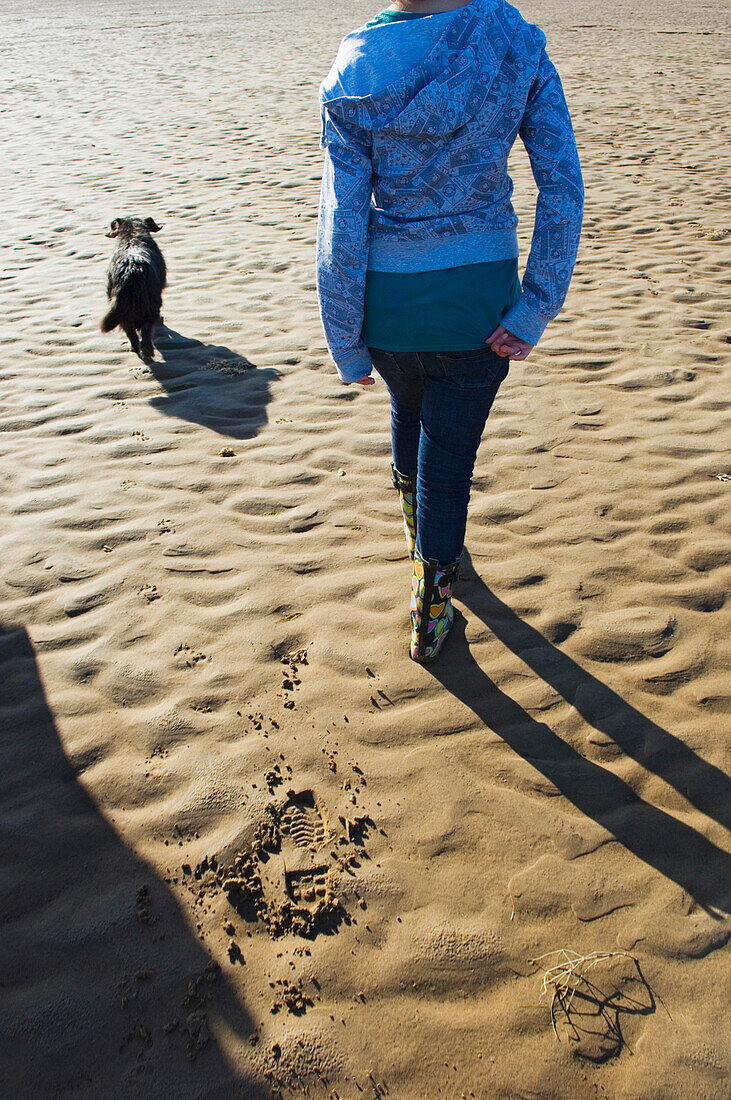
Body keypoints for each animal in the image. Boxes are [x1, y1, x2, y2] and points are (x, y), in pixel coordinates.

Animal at [100, 217, 165, 360]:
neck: (132, 234)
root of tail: (131, 270)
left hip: (121, 308)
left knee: (131, 332)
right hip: (150, 305)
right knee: (146, 330)